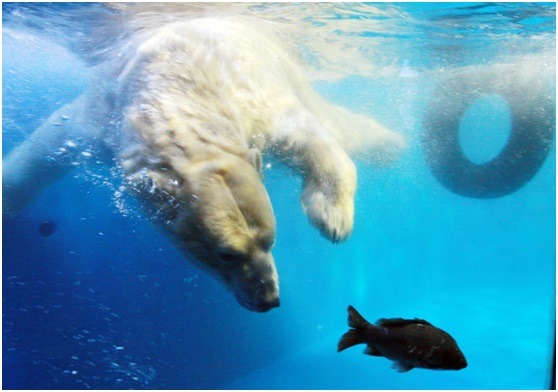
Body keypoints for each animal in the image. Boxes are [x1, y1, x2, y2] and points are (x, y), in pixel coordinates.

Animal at [4, 17, 406, 312]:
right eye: (226, 254)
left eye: (270, 239)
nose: (269, 300)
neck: (173, 86)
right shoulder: (106, 119)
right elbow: (49, 144)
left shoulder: (254, 97)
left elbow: (309, 135)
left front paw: (332, 217)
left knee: (341, 125)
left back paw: (393, 144)